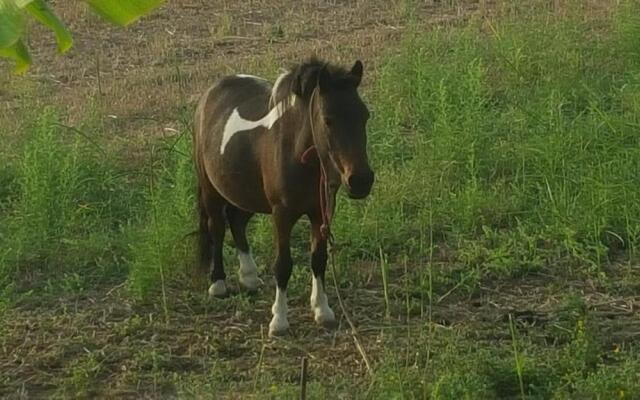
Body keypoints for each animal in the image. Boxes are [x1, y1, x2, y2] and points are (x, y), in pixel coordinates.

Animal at [192, 57, 372, 336]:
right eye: (328, 120)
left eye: (364, 116)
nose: (361, 181)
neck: (297, 154)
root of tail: (210, 93)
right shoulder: (282, 214)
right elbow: (283, 265)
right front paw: (279, 320)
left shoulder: (322, 212)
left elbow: (318, 260)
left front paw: (322, 310)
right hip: (212, 189)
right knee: (217, 228)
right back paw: (218, 283)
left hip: (246, 194)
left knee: (236, 221)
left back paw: (249, 276)